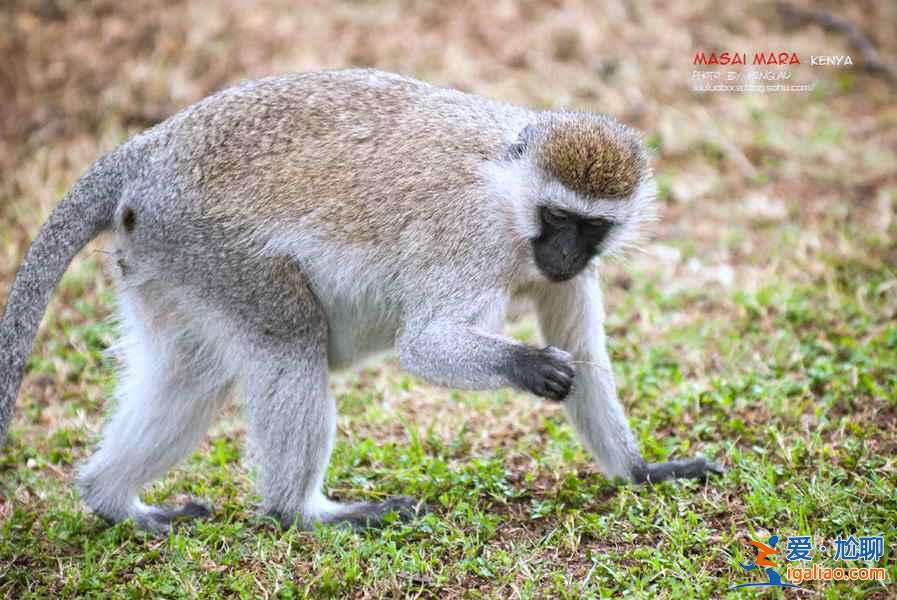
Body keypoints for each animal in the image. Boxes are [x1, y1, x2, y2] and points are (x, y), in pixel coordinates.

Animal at [0, 69, 720, 528]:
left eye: (590, 227)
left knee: (189, 375)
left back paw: (113, 502)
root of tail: (149, 150)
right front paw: (530, 365)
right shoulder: (470, 238)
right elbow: (423, 346)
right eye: (557, 217)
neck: (511, 201)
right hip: (211, 241)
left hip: (166, 256)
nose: (566, 255)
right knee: (289, 339)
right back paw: (305, 513)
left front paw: (640, 472)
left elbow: (586, 356)